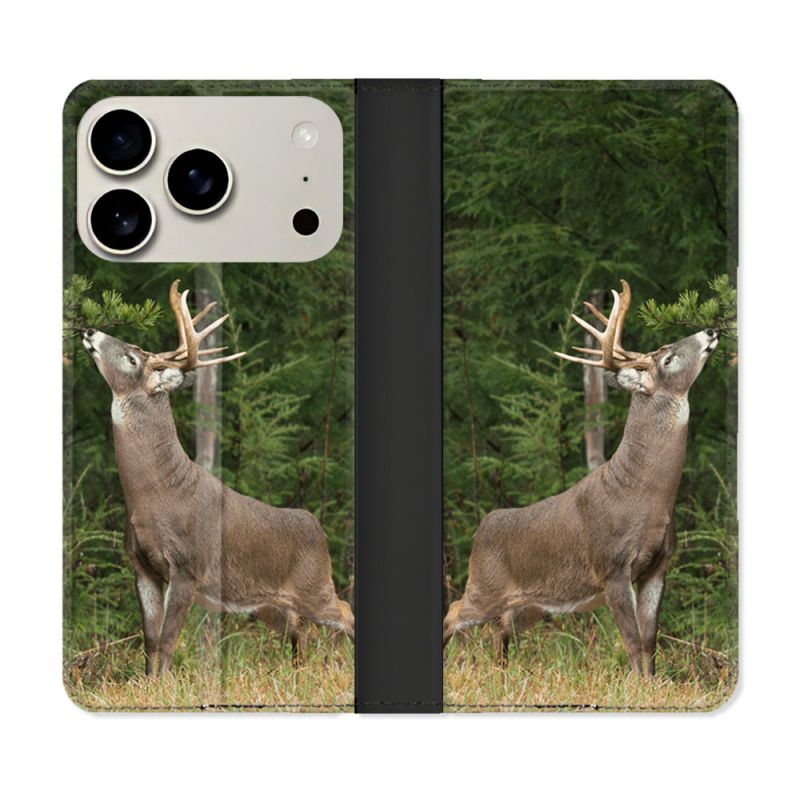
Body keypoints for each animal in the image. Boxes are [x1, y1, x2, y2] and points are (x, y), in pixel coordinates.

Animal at [82, 280, 354, 676]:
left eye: (132, 358)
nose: (89, 330)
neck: (155, 495)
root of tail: (317, 527)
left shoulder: (187, 567)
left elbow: (168, 641)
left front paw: (162, 685)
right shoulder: (142, 567)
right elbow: (150, 641)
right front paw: (147, 684)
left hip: (315, 585)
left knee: (345, 612)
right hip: (268, 603)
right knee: (300, 629)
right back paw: (296, 672)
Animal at [443, 280, 719, 676]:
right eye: (667, 358)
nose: (710, 331)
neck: (645, 494)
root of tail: (482, 528)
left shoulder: (658, 565)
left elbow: (650, 641)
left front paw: (652, 683)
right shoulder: (612, 566)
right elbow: (632, 641)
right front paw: (637, 685)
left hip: (530, 604)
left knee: (501, 629)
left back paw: (503, 672)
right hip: (484, 585)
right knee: (453, 612)